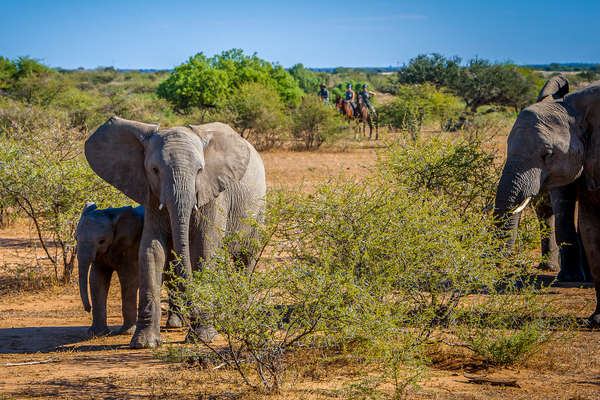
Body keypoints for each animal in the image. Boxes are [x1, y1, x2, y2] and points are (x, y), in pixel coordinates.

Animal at [75, 202, 144, 336]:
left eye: (101, 241)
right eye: (75, 238)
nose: (88, 309)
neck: (112, 213)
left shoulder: (132, 245)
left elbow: (129, 279)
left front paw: (127, 333)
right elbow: (96, 279)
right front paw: (97, 334)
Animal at [86, 116, 268, 346]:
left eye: (200, 171)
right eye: (154, 170)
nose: (195, 312)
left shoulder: (213, 194)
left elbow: (203, 250)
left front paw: (203, 337)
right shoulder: (151, 194)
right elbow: (152, 250)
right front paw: (144, 342)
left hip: (258, 208)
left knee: (245, 257)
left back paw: (236, 315)